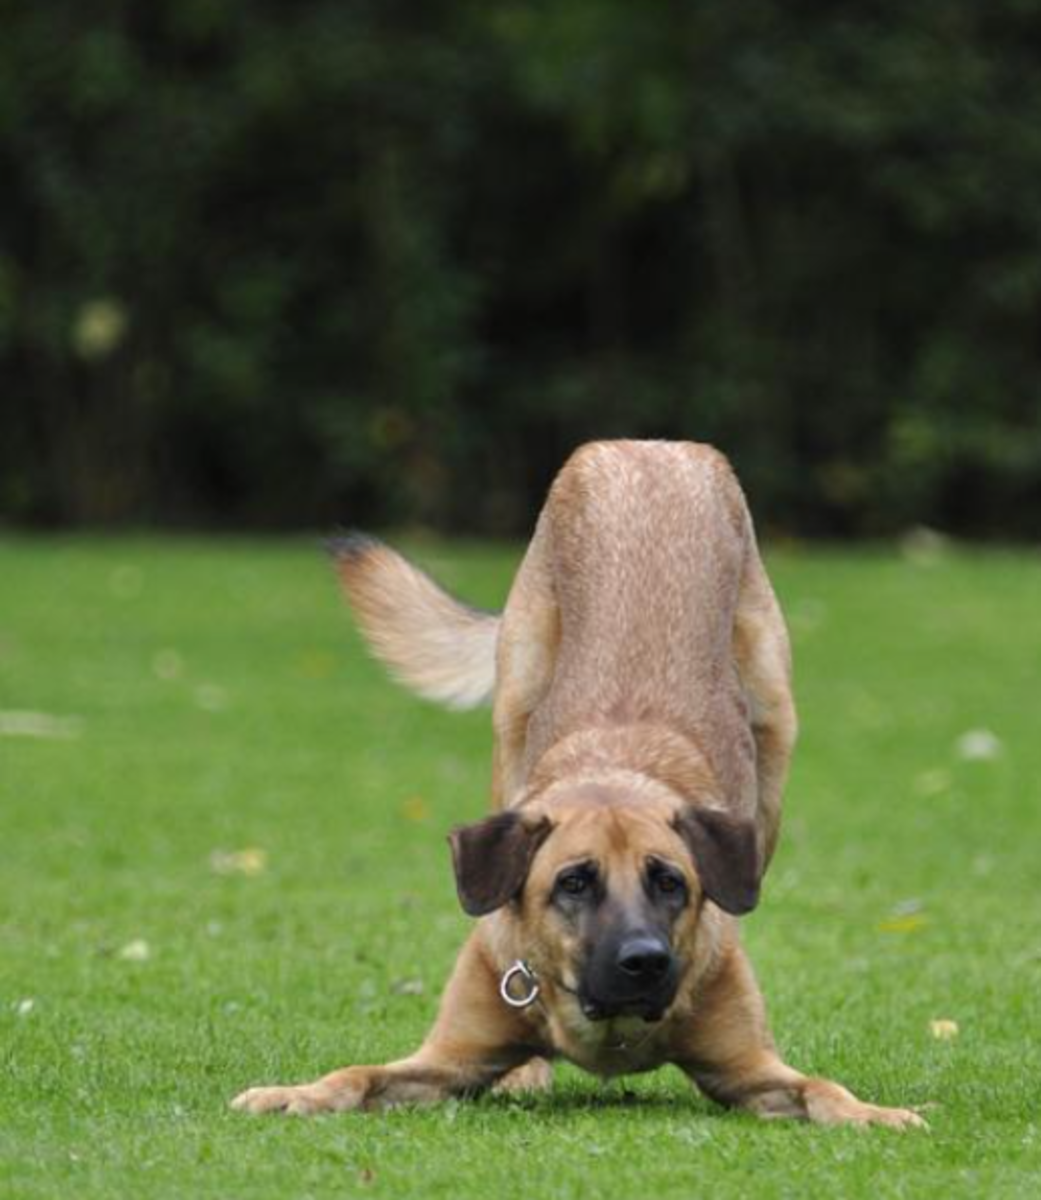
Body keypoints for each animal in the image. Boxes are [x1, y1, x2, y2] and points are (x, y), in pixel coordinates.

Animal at [231, 439, 921, 1123]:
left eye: (670, 882)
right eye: (573, 882)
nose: (644, 961)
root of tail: (651, 447)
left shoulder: (751, 1068)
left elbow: (822, 1088)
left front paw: (876, 1113)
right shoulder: (446, 1056)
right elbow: (355, 1074)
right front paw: (291, 1093)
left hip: (773, 732)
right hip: (513, 710)